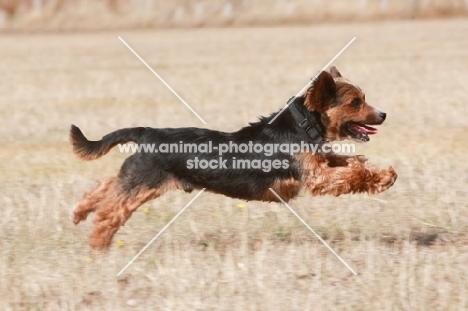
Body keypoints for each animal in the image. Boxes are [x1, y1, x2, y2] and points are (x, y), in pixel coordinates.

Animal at [71, 66, 396, 251]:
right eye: (356, 102)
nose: (383, 114)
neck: (303, 126)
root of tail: (146, 133)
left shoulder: (324, 162)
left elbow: (352, 163)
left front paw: (382, 176)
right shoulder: (316, 177)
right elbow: (350, 173)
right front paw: (384, 176)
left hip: (134, 177)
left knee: (105, 186)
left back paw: (79, 211)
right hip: (142, 183)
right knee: (111, 210)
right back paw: (98, 245)